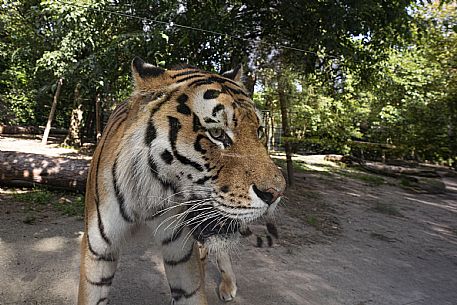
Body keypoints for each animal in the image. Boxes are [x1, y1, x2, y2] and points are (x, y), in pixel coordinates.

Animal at [78, 57, 284, 304]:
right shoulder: (98, 251)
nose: (276, 193)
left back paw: (228, 284)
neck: (149, 198)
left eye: (260, 131)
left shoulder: (182, 255)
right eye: (216, 133)